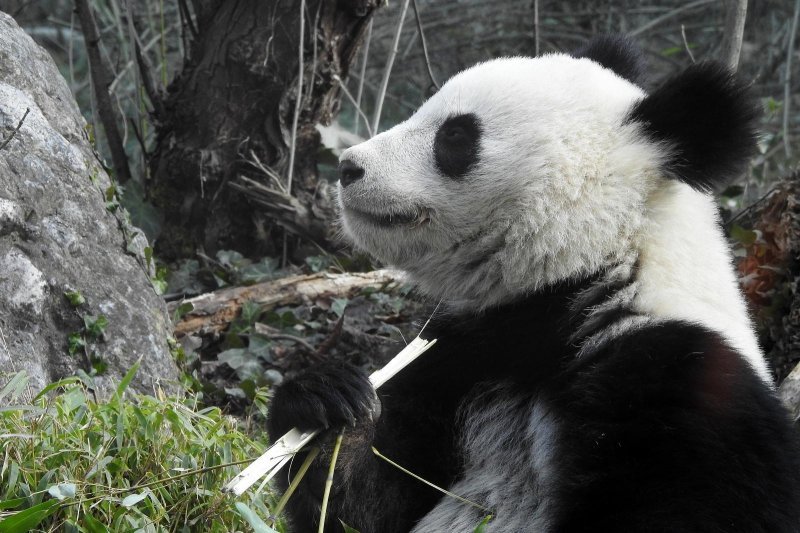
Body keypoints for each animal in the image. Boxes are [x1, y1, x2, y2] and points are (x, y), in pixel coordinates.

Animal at [268, 35, 800, 528]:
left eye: (456, 136)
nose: (348, 166)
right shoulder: (459, 357)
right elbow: (371, 503)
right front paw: (328, 403)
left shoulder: (684, 382)